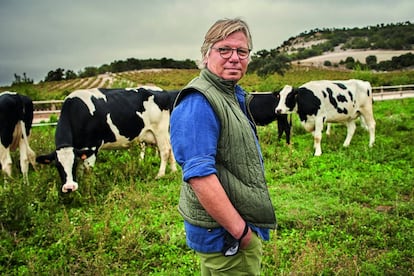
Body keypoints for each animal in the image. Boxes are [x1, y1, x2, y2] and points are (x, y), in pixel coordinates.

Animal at [36, 87, 177, 193]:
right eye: (57, 165)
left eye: (73, 163)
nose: (69, 187)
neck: (77, 112)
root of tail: (162, 91)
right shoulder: (80, 149)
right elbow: (81, 170)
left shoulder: (92, 147)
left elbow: (87, 170)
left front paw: (88, 188)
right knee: (171, 150)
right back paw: (174, 171)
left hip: (160, 131)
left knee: (165, 151)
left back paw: (160, 175)